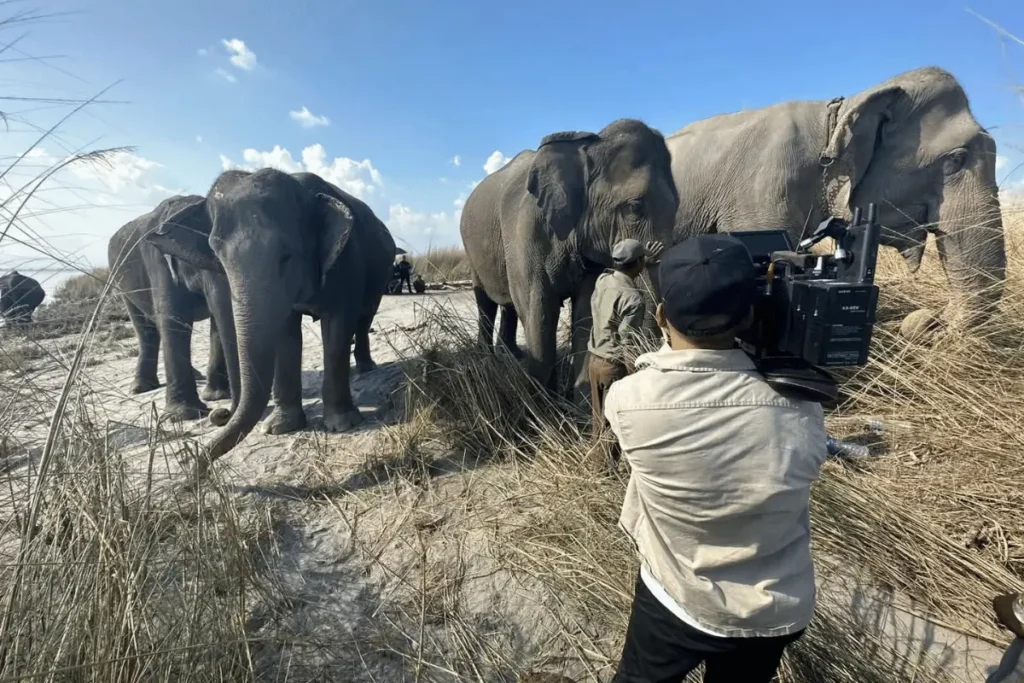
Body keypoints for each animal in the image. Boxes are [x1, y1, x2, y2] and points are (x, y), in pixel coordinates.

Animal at [107, 195, 239, 421]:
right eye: (203, 263)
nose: (223, 413)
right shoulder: (159, 264)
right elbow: (173, 319)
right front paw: (185, 415)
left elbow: (217, 322)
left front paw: (216, 396)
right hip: (121, 284)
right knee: (146, 330)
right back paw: (140, 388)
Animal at [146, 168, 396, 461]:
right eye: (218, 258)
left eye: (286, 255)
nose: (220, 414)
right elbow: (285, 334)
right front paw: (280, 427)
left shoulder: (347, 261)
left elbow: (338, 324)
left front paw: (342, 424)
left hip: (382, 271)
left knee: (365, 317)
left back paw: (366, 369)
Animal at [460, 118, 679, 401]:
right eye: (634, 207)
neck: (588, 146)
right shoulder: (526, 232)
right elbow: (538, 308)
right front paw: (544, 406)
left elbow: (586, 311)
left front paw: (580, 403)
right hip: (471, 249)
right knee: (485, 300)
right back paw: (488, 359)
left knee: (508, 305)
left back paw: (513, 356)